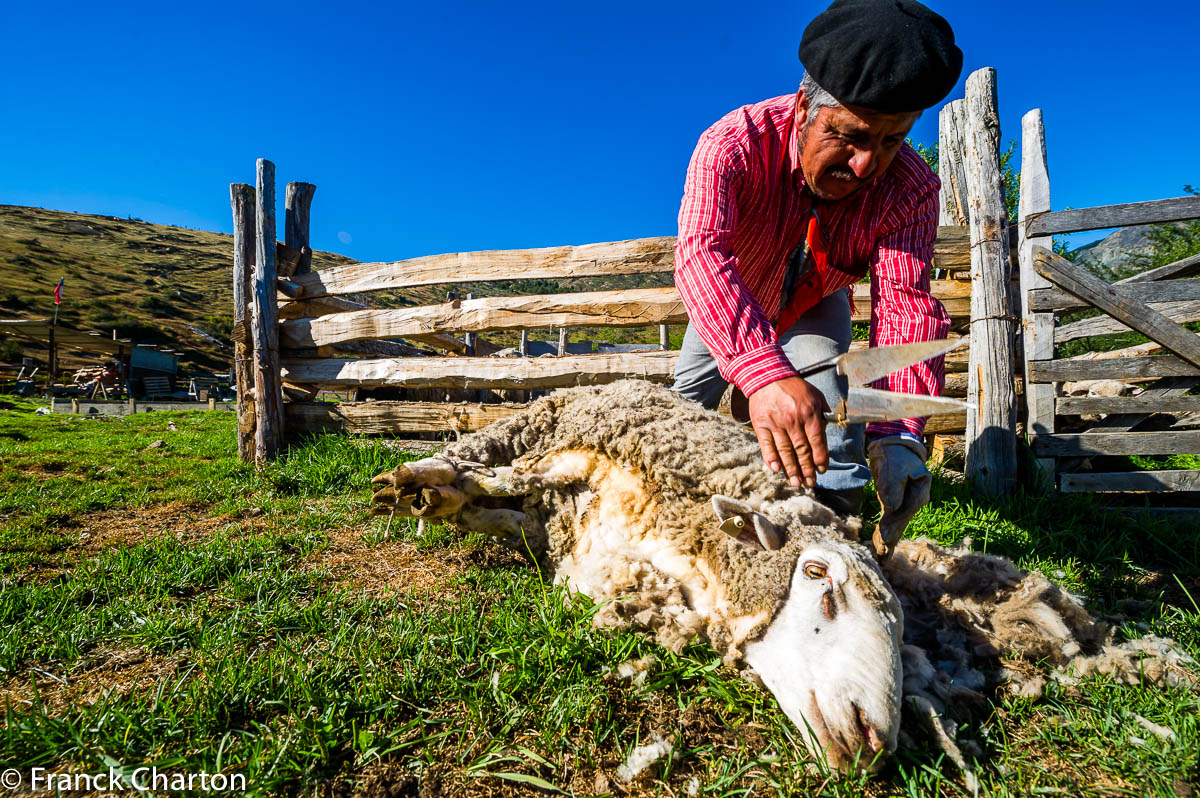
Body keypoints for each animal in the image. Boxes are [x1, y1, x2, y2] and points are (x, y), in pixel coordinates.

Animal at [369, 379, 1195, 777]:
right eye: (818, 575)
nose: (872, 737)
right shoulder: (568, 466)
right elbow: (508, 481)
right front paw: (429, 485)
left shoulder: (563, 529)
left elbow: (510, 502)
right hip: (534, 419)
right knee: (490, 456)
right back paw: (416, 484)